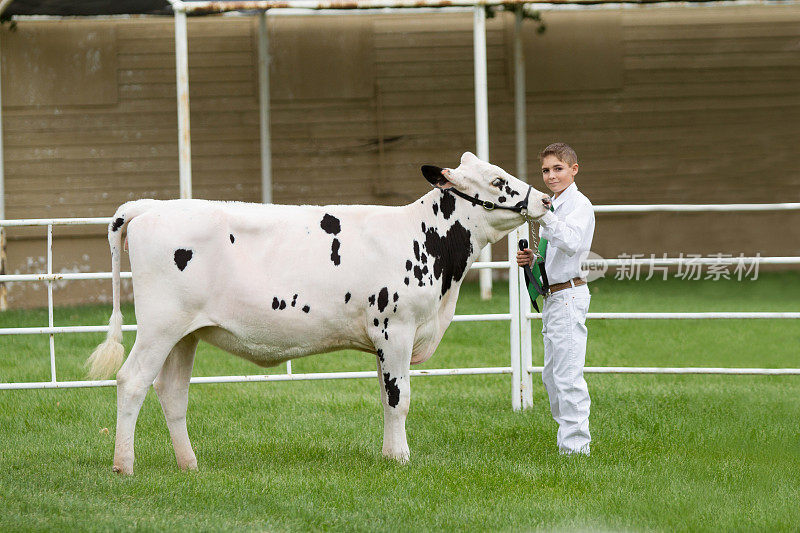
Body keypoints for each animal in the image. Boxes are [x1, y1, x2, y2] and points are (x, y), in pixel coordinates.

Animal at [87, 152, 552, 472]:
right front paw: (401, 458)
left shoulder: (383, 340)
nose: (546, 200)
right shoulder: (396, 330)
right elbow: (399, 399)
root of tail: (150, 206)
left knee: (172, 392)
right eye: (498, 180)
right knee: (131, 381)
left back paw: (189, 465)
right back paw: (124, 465)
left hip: (186, 333)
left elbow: (384, 396)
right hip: (159, 327)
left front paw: (388, 455)